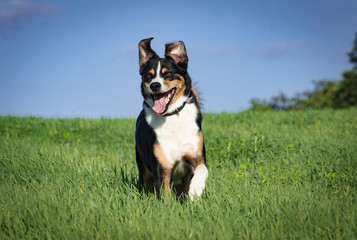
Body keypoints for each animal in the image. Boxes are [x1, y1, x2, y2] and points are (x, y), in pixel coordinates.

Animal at [136, 38, 209, 201]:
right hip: (143, 168)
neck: (171, 117)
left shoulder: (197, 155)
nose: (154, 85)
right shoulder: (161, 166)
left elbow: (202, 170)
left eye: (168, 73)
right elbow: (164, 194)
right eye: (148, 76)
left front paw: (195, 191)